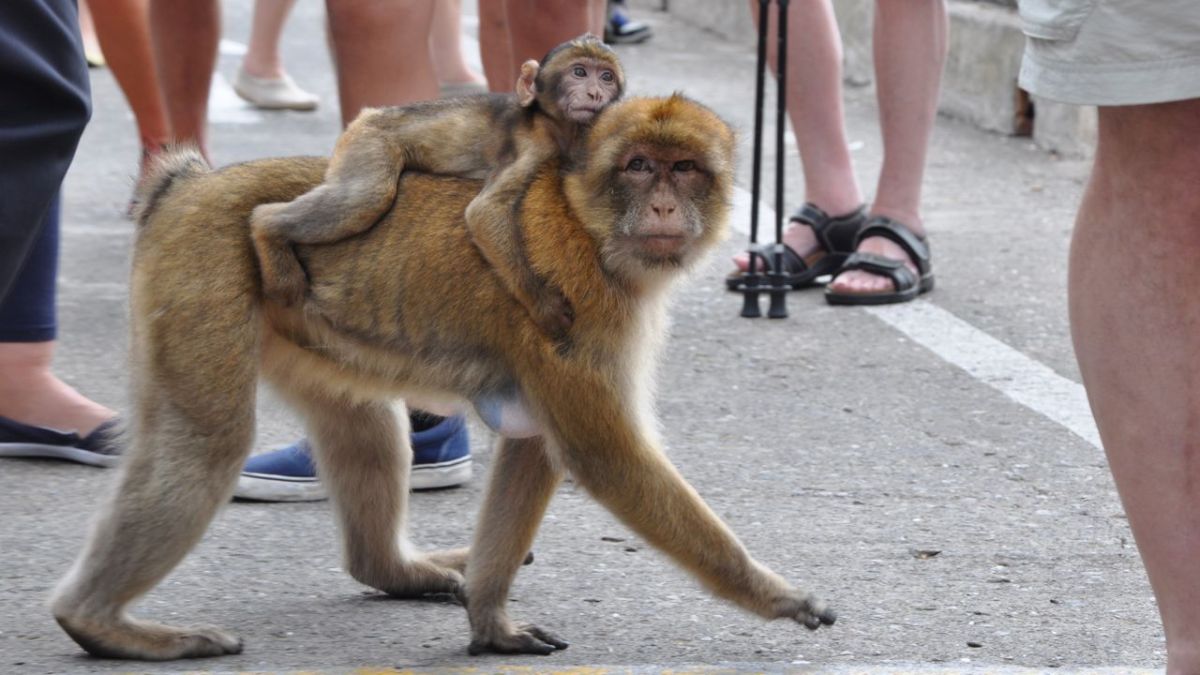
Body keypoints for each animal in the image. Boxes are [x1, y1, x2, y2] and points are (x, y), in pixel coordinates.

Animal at [49, 95, 836, 661]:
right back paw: (98, 623)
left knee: (363, 426)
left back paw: (395, 570)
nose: (666, 205)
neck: (588, 225)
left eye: (686, 168)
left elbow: (532, 445)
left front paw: (489, 620)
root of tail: (187, 188)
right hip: (202, 272)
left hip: (298, 320)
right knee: (207, 440)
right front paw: (773, 595)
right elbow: (601, 453)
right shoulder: (580, 306)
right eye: (641, 165)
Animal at [251, 34, 624, 340]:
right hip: (369, 141)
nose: (594, 92)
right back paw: (266, 226)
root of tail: (368, 115)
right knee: (366, 199)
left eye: (606, 77)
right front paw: (543, 304)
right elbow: (484, 212)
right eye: (579, 72)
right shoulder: (536, 144)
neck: (555, 124)